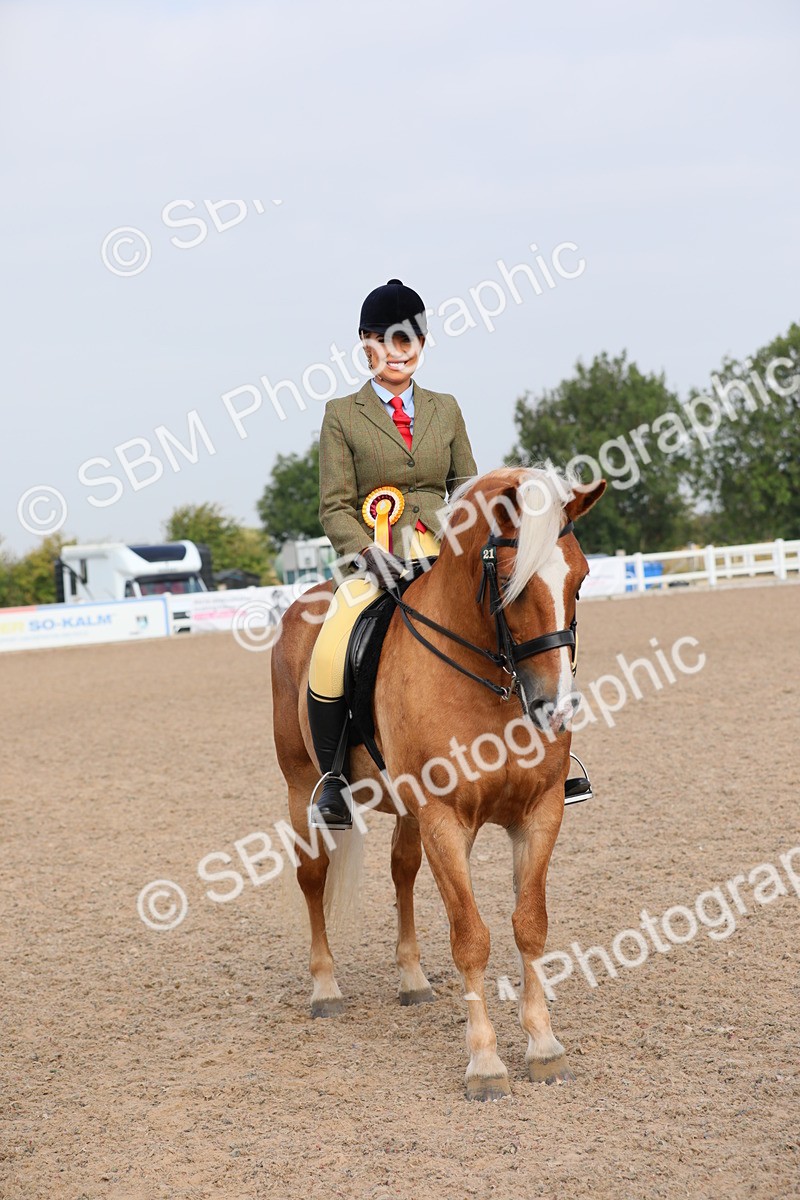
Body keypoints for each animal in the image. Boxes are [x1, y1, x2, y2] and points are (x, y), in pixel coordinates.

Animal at [270, 465, 606, 1100]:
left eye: (580, 579)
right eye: (511, 583)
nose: (554, 710)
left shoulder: (540, 812)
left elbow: (530, 925)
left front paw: (544, 1047)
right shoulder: (446, 819)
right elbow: (471, 936)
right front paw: (485, 1064)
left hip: (406, 810)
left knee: (402, 872)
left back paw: (412, 979)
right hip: (303, 789)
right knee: (312, 877)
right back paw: (324, 989)